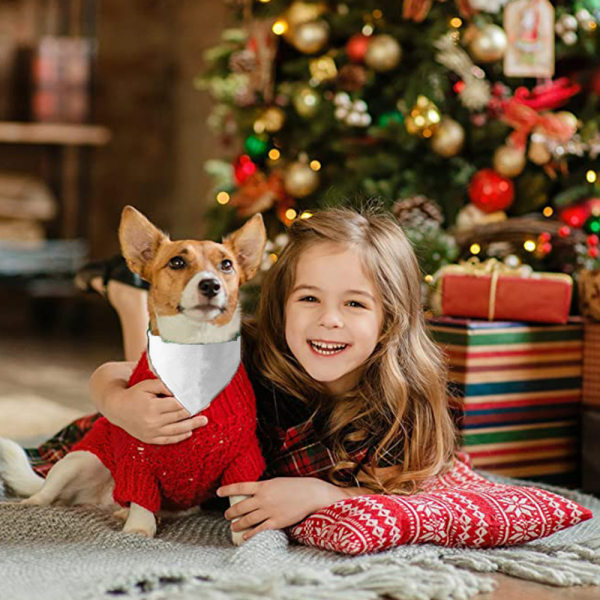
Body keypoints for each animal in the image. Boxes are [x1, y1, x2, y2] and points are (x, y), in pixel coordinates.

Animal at [0, 206, 268, 544]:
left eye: (227, 265)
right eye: (177, 262)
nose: (211, 285)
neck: (195, 352)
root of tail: (102, 498)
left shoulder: (240, 458)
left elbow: (240, 497)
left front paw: (246, 535)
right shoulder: (138, 458)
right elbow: (142, 500)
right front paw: (138, 531)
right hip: (78, 461)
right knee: (45, 495)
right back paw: (23, 506)